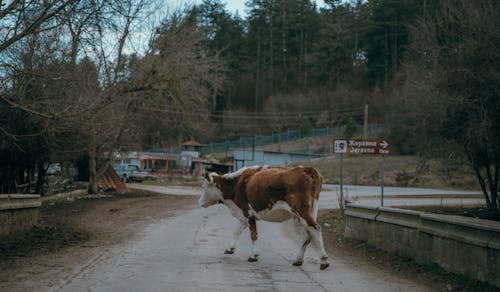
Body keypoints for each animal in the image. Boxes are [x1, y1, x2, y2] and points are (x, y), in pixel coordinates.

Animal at [197, 165, 330, 270]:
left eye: (204, 186)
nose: (199, 202)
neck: (237, 183)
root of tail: (306, 168)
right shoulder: (244, 213)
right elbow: (237, 231)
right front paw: (230, 248)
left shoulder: (248, 213)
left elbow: (253, 234)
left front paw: (253, 255)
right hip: (310, 210)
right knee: (308, 233)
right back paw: (298, 260)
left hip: (301, 210)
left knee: (315, 228)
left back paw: (323, 260)